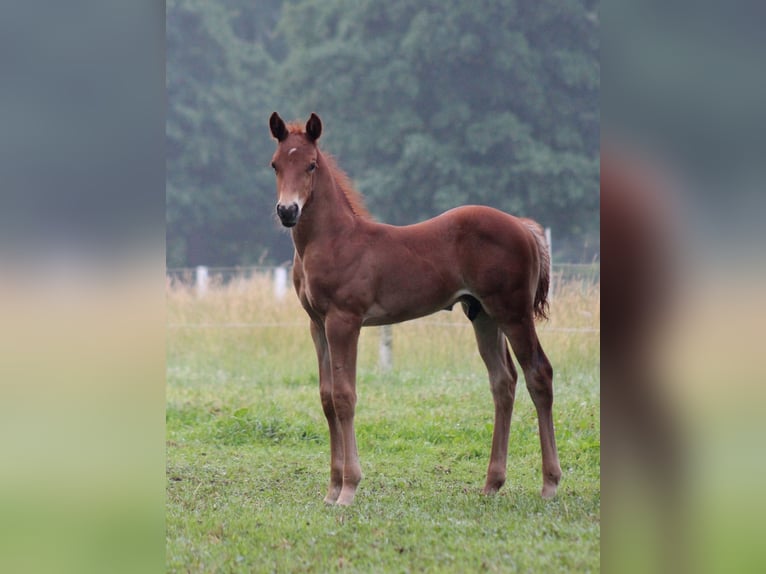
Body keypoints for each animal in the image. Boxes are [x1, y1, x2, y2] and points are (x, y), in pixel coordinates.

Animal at [269, 112, 561, 506]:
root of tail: (524, 227)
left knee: (538, 374)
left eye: (311, 165)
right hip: (483, 315)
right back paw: (491, 483)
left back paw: (549, 483)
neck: (334, 240)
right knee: (503, 381)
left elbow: (345, 396)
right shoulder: (317, 325)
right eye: (275, 165)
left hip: (514, 312)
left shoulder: (345, 321)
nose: (288, 211)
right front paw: (330, 491)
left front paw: (348, 488)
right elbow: (327, 398)